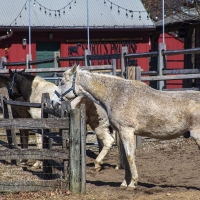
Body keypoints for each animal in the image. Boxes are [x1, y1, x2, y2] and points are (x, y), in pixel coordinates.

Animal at [51, 65, 200, 190]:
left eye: (62, 82)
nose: (52, 101)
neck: (116, 95)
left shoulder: (126, 131)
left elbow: (129, 156)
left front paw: (133, 184)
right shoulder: (123, 132)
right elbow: (127, 157)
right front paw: (124, 183)